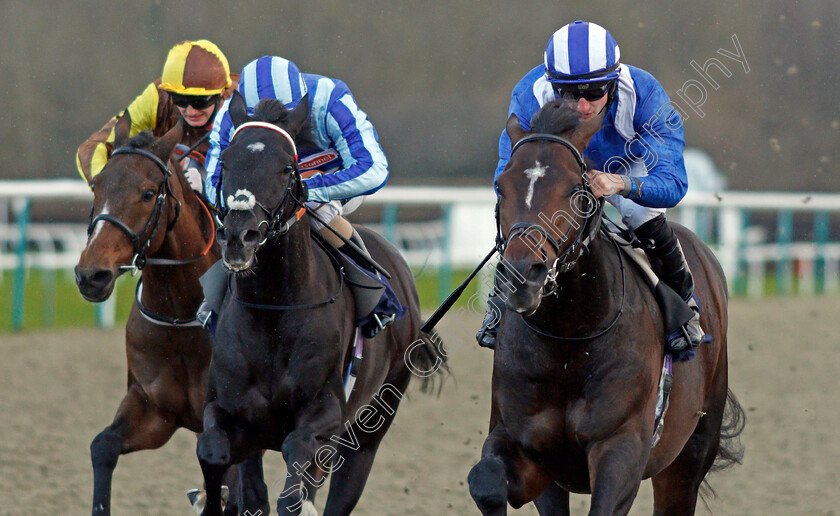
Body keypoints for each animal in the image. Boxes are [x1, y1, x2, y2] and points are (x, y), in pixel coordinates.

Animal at [77, 118, 264, 516]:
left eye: (149, 193)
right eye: (97, 185)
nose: (91, 275)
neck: (182, 318)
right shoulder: (155, 410)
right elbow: (102, 447)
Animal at [196, 93, 446, 516]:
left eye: (287, 168)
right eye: (226, 162)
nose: (239, 237)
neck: (274, 311)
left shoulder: (326, 412)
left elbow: (297, 458)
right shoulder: (232, 410)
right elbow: (215, 453)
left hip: (374, 420)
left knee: (346, 479)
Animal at [470, 101, 744, 516]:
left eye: (574, 189)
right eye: (501, 185)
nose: (522, 277)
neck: (569, 338)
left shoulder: (622, 447)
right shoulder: (528, 446)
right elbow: (485, 481)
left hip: (690, 453)